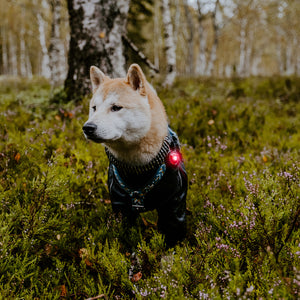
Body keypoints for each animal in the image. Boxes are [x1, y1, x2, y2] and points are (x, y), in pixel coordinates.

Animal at [82, 63, 188, 246]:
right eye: (94, 108)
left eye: (116, 107)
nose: (88, 127)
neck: (138, 168)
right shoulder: (120, 205)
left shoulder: (173, 204)